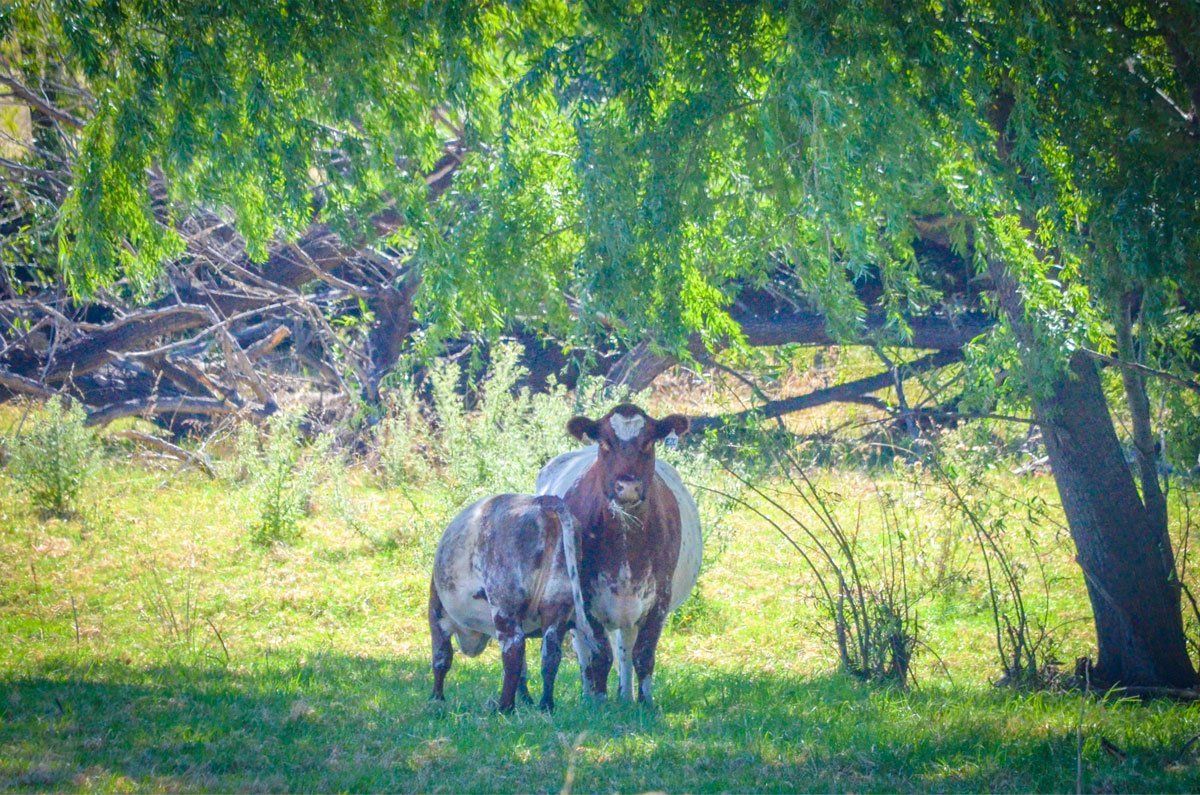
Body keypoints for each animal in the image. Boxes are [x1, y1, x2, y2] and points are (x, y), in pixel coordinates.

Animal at [428, 494, 595, 712]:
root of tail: (543, 501)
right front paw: (527, 700)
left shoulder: (436, 614)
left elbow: (441, 658)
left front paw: (436, 699)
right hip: (556, 604)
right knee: (550, 653)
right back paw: (545, 705)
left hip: (504, 606)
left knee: (513, 649)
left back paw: (504, 707)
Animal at [535, 403, 701, 705]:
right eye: (605, 443)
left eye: (648, 442)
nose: (628, 487)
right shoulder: (586, 597)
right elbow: (600, 655)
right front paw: (600, 701)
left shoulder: (659, 598)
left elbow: (643, 654)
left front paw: (645, 703)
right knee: (584, 650)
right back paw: (589, 695)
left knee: (626, 648)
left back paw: (625, 696)